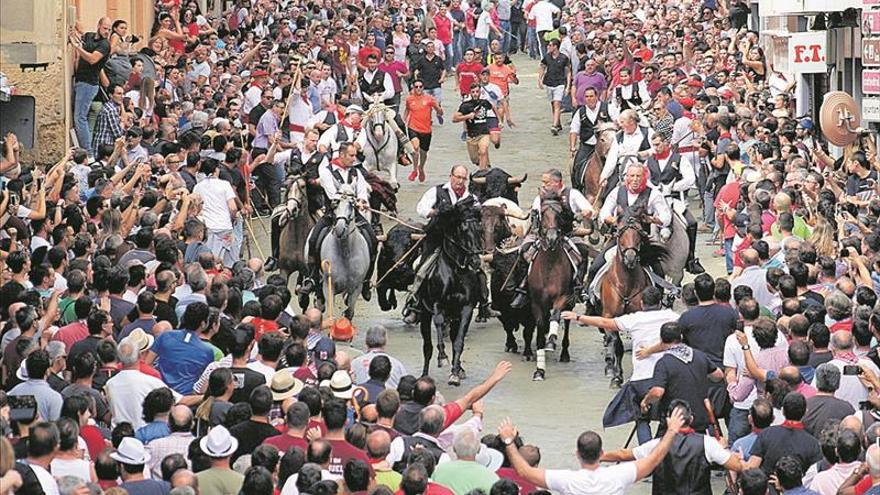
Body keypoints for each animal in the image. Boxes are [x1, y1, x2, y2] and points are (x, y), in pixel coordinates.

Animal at [418, 200, 484, 386]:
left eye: (480, 229)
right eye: (463, 229)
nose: (476, 261)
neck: (456, 272)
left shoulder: (466, 309)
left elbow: (459, 342)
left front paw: (455, 373)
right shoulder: (437, 304)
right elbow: (439, 324)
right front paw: (442, 356)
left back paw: (459, 368)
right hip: (424, 314)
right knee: (427, 346)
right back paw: (424, 374)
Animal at [524, 196, 576, 382]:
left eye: (560, 214)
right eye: (543, 213)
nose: (552, 238)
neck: (549, 266)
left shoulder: (563, 297)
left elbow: (556, 315)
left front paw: (552, 341)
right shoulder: (536, 303)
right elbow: (539, 331)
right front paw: (539, 370)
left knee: (566, 321)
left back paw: (564, 353)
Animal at [600, 209, 652, 388]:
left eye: (639, 231)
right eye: (618, 229)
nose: (630, 258)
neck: (626, 284)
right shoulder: (610, 316)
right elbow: (617, 345)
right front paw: (617, 377)